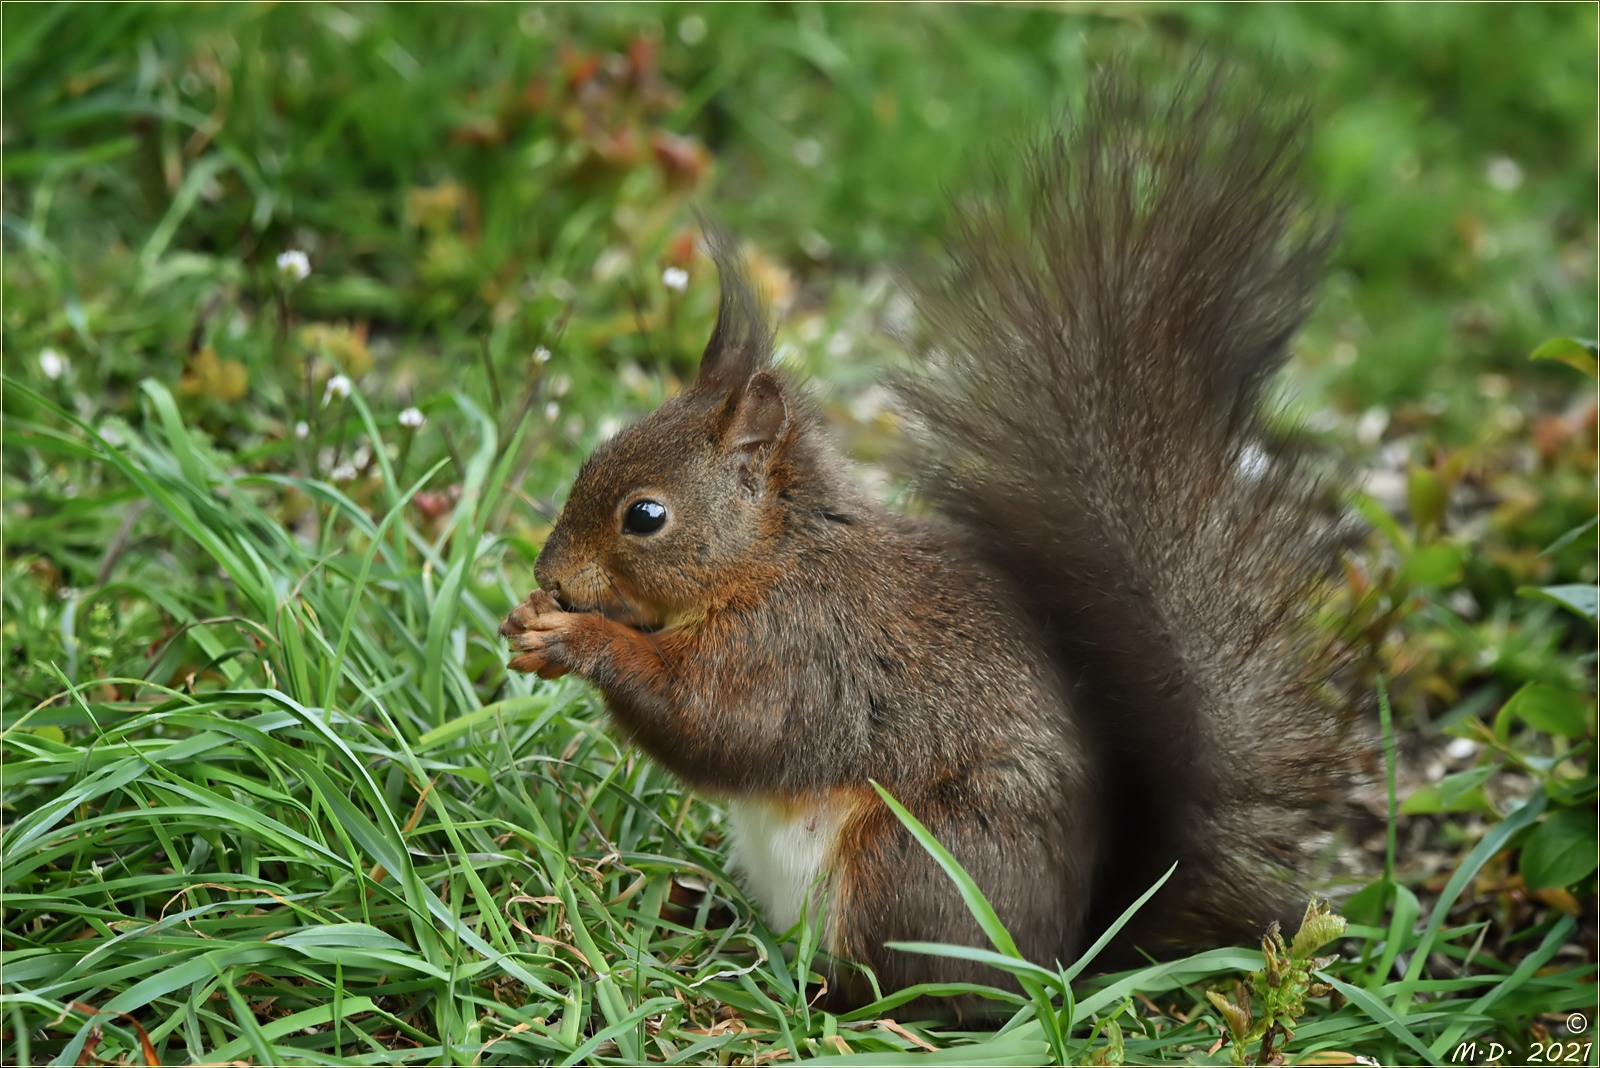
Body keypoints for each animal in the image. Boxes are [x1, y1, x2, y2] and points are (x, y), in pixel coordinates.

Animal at [499, 66, 1363, 1016]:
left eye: (645, 516)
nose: (548, 572)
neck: (775, 558)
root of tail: (1068, 954)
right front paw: (528, 625)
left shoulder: (801, 650)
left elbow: (718, 725)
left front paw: (579, 638)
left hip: (913, 861)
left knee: (914, 995)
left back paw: (821, 1001)